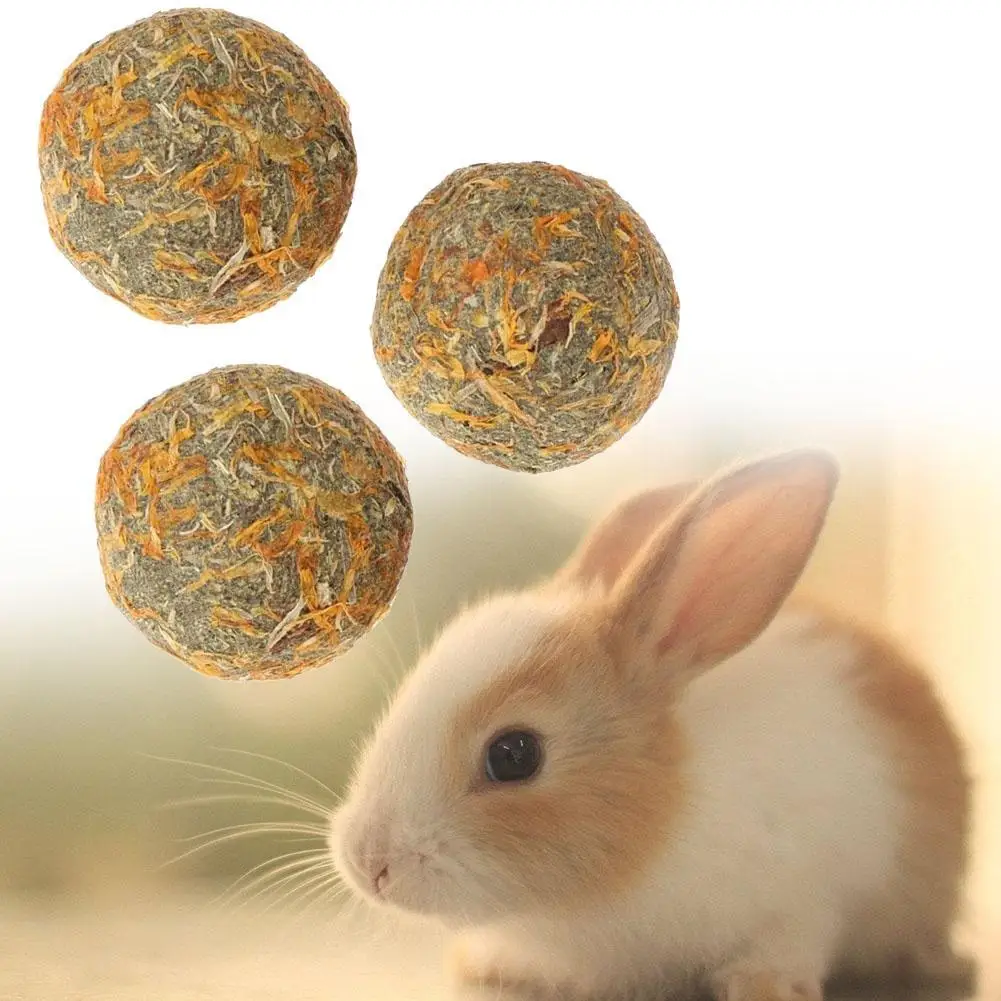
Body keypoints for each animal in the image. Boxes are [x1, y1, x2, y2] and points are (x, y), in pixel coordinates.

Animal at [328, 450, 973, 1001]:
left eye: (514, 755)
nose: (369, 863)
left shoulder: (810, 893)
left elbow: (791, 939)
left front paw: (763, 984)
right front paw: (488, 964)